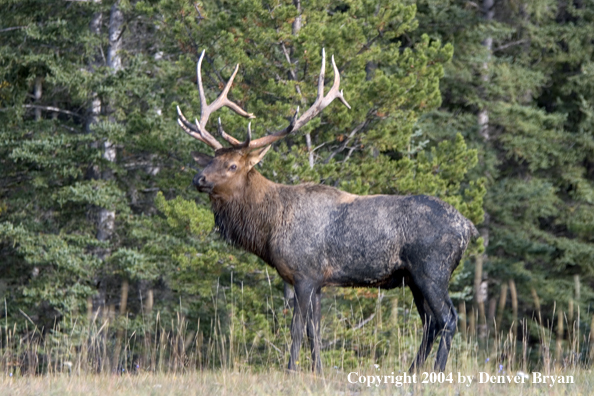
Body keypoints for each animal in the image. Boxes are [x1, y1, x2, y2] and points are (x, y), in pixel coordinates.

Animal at [175, 48, 476, 372]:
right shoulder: (318, 280)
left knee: (448, 319)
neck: (269, 229)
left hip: (433, 268)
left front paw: (291, 370)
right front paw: (317, 370)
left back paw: (436, 370)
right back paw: (412, 371)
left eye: (232, 165)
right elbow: (314, 330)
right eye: (211, 160)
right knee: (430, 322)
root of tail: (468, 227)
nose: (198, 179)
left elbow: (297, 328)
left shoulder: (304, 273)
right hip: (414, 278)